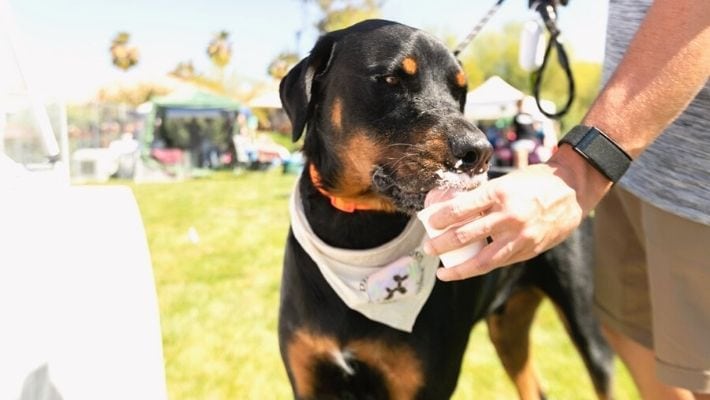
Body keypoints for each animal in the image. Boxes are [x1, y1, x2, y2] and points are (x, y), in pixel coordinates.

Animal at [280, 19, 616, 400]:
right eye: (392, 78)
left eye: (460, 91)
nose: (479, 152)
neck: (357, 230)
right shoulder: (309, 379)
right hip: (508, 327)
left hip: (588, 326)